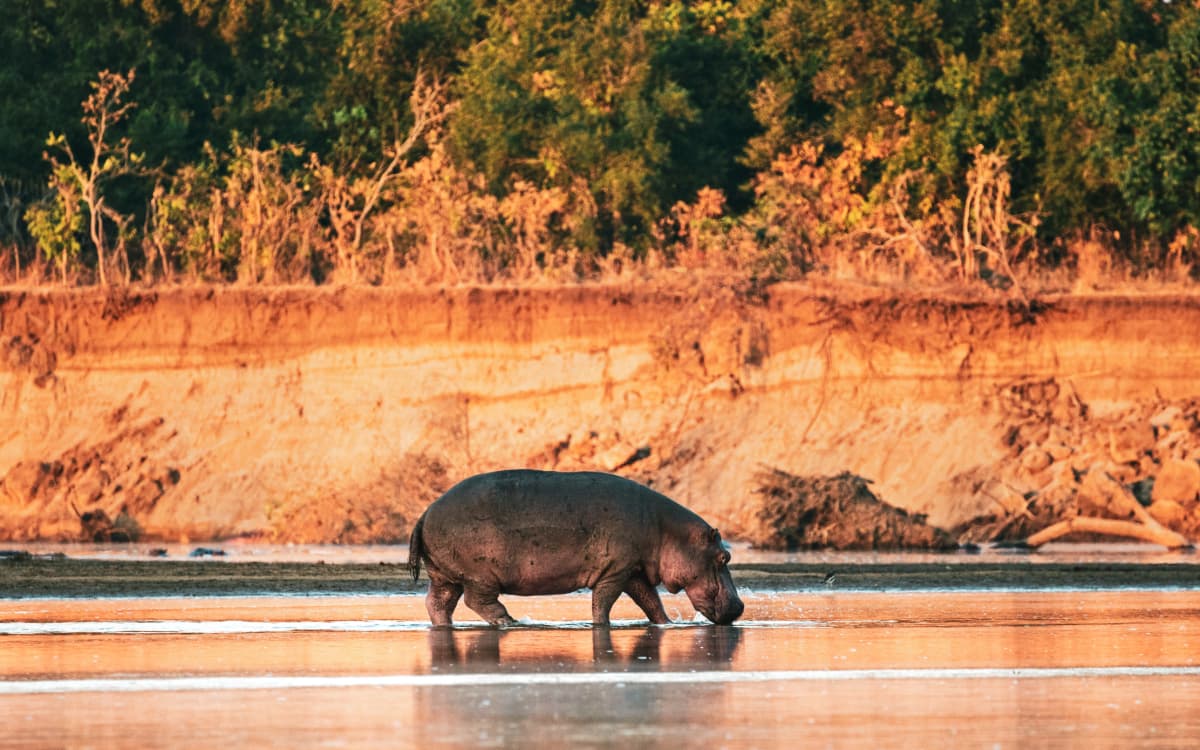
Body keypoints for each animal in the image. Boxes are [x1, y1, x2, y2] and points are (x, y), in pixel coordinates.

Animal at [407, 469, 745, 627]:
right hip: (478, 575)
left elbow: (651, 601)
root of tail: (425, 512)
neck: (667, 531)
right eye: (724, 556)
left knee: (437, 603)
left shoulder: (633, 570)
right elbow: (603, 603)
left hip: (444, 575)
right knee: (476, 600)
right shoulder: (615, 572)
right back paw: (508, 621)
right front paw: (601, 625)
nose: (740, 607)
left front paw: (667, 624)